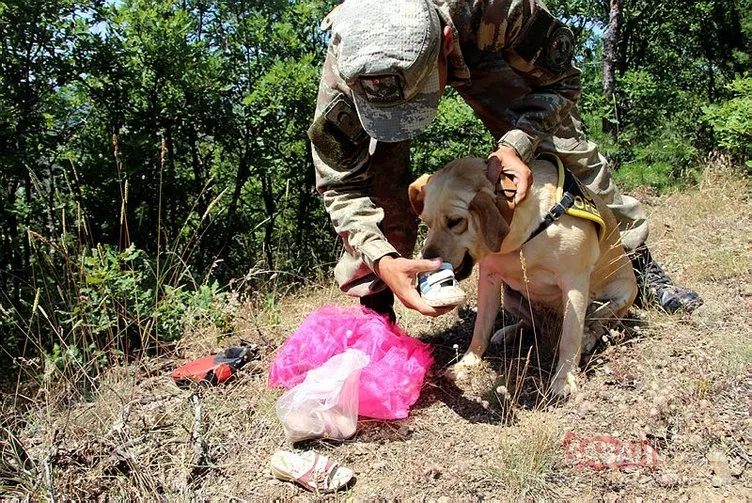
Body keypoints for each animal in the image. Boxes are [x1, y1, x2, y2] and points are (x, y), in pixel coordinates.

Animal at [408, 156, 636, 396]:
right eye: (427, 222)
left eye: (455, 221)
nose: (428, 261)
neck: (520, 238)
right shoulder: (488, 278)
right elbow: (480, 328)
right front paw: (468, 363)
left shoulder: (575, 284)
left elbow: (570, 337)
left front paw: (564, 378)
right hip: (510, 297)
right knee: (531, 323)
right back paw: (507, 332)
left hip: (623, 294)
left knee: (598, 322)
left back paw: (587, 338)